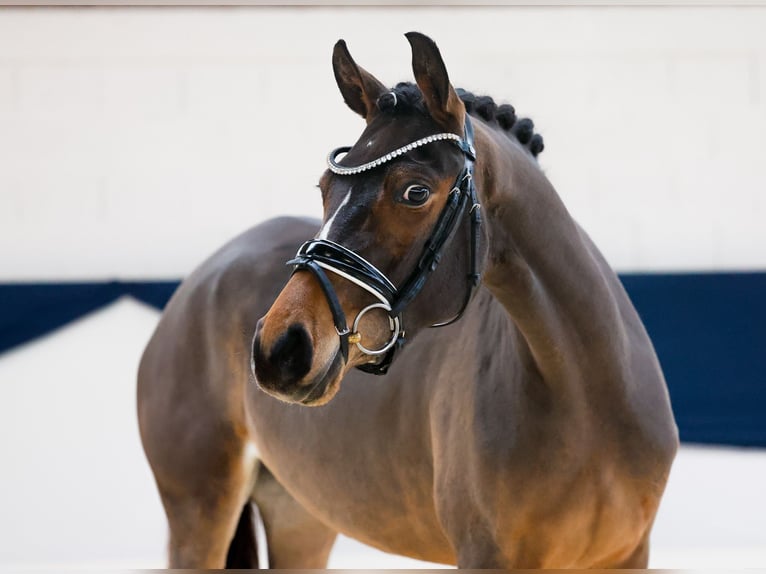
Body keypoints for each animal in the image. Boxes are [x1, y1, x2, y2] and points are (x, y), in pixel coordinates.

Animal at [136, 32, 680, 572]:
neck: (585, 399)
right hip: (199, 514)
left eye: (415, 192)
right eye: (326, 187)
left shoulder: (627, 557)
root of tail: (200, 281)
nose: (281, 348)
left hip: (301, 516)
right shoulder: (484, 555)